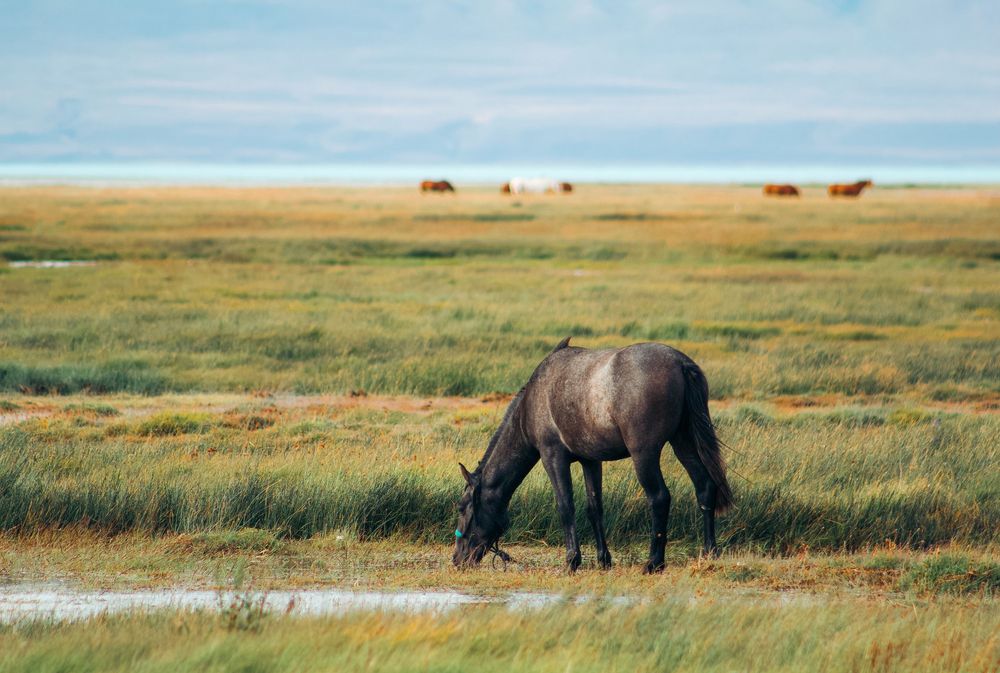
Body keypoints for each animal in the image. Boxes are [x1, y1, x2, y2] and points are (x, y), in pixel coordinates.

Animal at [453, 338, 733, 574]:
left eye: (462, 507)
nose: (457, 559)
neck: (533, 401)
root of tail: (679, 363)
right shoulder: (591, 461)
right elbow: (594, 507)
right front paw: (603, 560)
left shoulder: (553, 457)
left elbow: (566, 506)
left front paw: (572, 560)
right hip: (683, 443)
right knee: (704, 487)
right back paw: (709, 552)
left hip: (645, 454)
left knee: (660, 498)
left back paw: (654, 562)